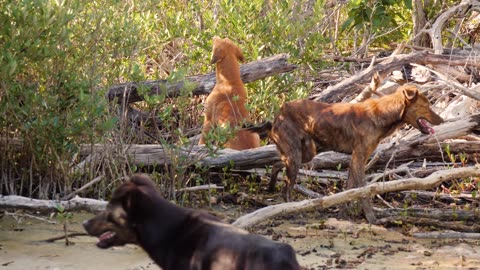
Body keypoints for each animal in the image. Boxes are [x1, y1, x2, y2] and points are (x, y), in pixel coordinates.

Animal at [246, 85, 444, 223]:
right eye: (426, 105)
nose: (442, 120)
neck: (386, 115)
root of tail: (277, 114)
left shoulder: (356, 159)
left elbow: (349, 190)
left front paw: (342, 215)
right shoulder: (359, 157)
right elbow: (363, 191)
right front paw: (372, 219)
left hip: (306, 153)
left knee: (278, 164)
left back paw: (272, 186)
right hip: (296, 155)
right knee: (286, 186)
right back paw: (290, 210)